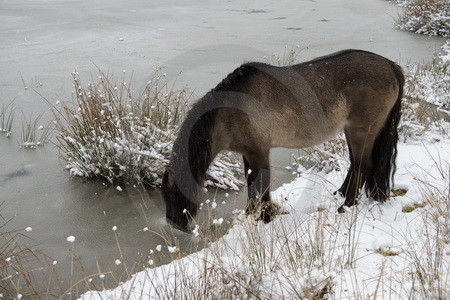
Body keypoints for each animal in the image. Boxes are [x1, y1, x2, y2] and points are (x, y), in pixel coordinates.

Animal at [161, 50, 404, 231]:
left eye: (172, 194)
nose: (174, 224)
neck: (229, 112)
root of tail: (391, 66)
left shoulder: (259, 152)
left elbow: (262, 184)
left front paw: (266, 217)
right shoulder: (248, 153)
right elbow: (251, 182)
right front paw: (251, 214)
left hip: (360, 131)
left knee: (363, 165)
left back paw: (346, 206)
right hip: (351, 131)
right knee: (355, 164)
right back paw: (341, 194)